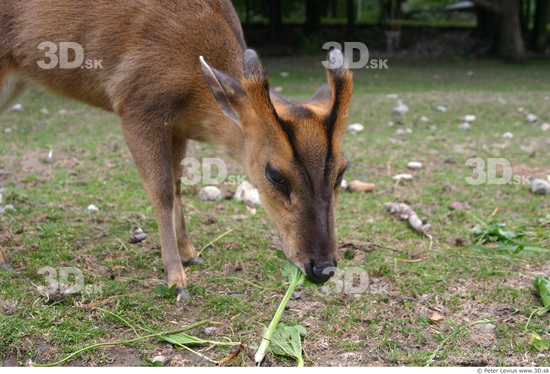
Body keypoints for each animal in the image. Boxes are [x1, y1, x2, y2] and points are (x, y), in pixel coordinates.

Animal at [0, 0, 354, 298]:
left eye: (342, 171)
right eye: (275, 175)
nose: (323, 268)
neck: (192, 92)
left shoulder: (177, 126)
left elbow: (179, 184)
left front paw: (190, 255)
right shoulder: (137, 106)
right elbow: (162, 192)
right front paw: (176, 280)